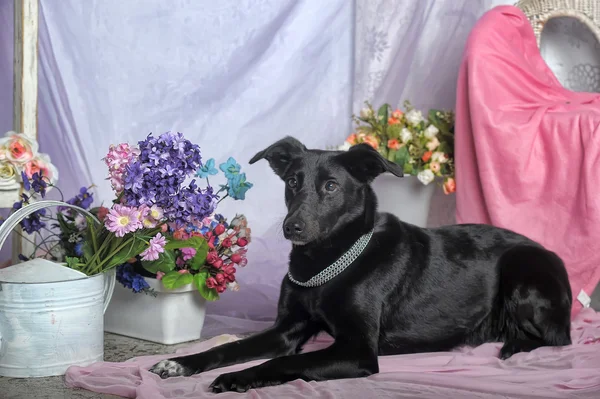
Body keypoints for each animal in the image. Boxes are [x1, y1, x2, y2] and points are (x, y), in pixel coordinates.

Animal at [150, 138, 572, 394]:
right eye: (292, 181)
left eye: (331, 186)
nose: (292, 227)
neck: (324, 263)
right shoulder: (285, 330)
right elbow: (230, 347)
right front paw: (179, 364)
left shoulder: (357, 350)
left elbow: (285, 363)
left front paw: (237, 377)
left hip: (523, 270)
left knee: (557, 338)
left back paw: (510, 343)